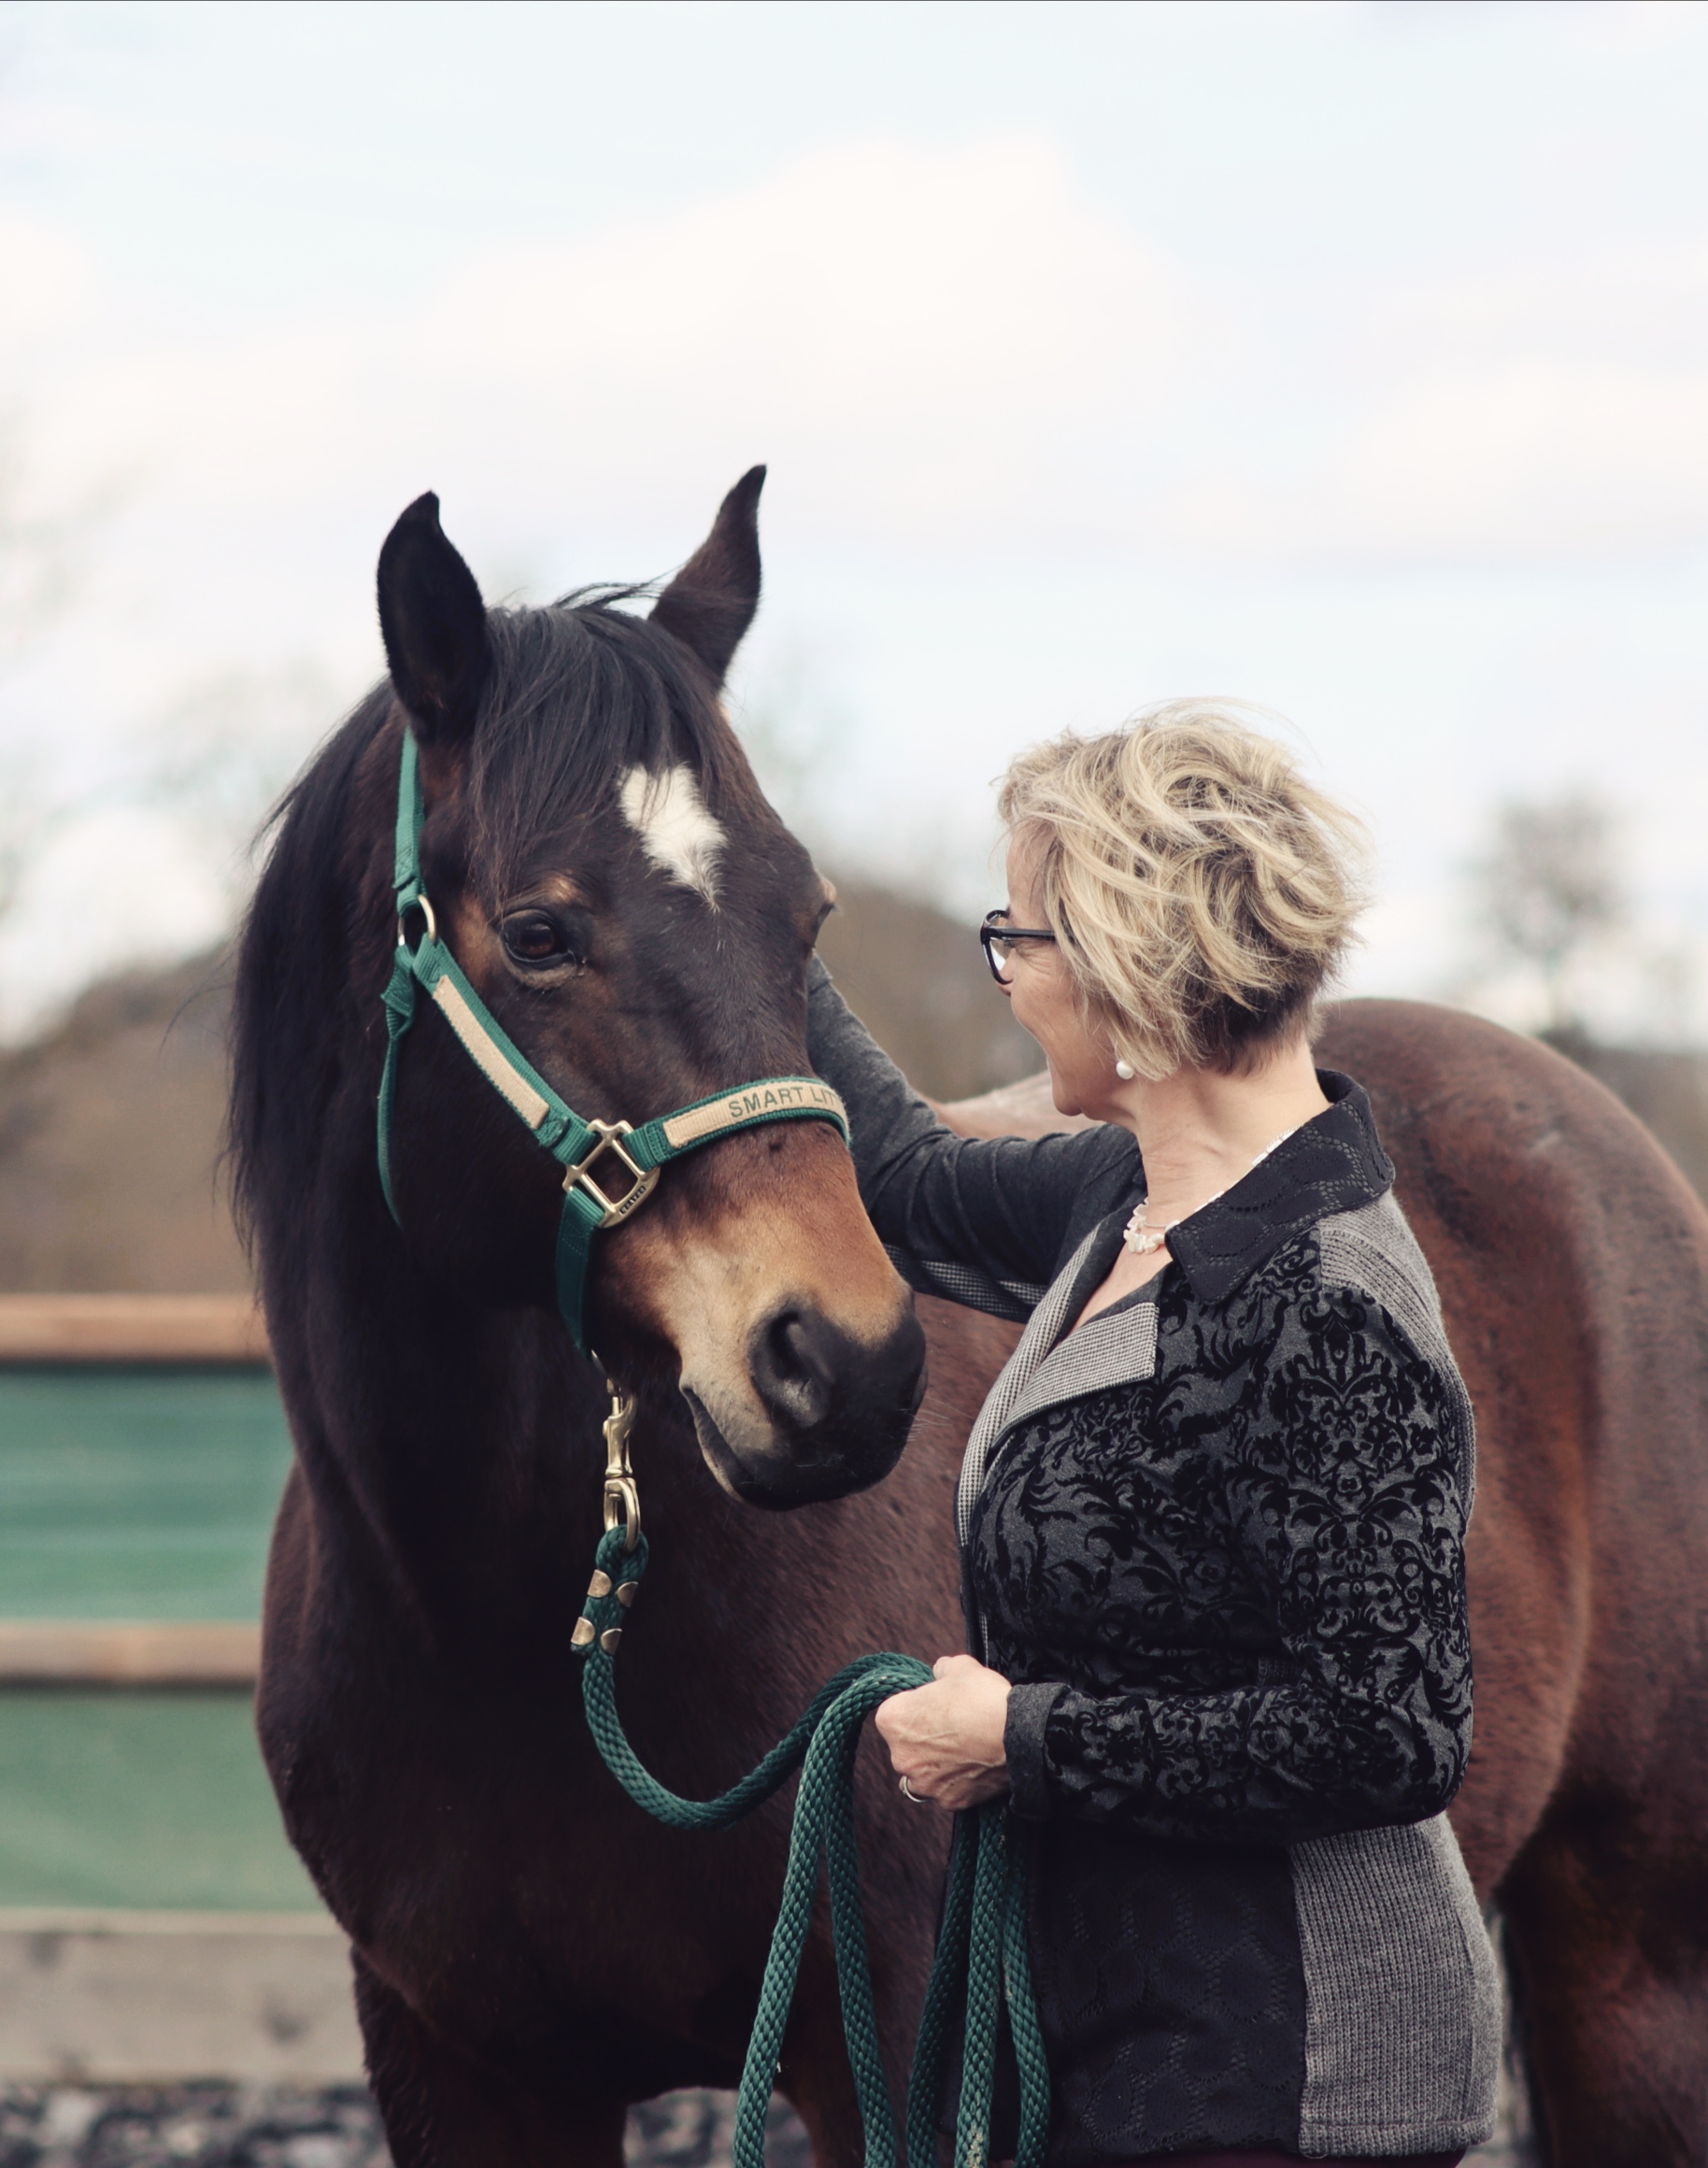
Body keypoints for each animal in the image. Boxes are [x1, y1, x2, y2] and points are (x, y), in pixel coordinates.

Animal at [229, 465, 1708, 2159]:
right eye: (538, 932)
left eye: (802, 919)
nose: (842, 1366)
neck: (489, 1630)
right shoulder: (463, 2068)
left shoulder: (904, 2062)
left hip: (1633, 1976)